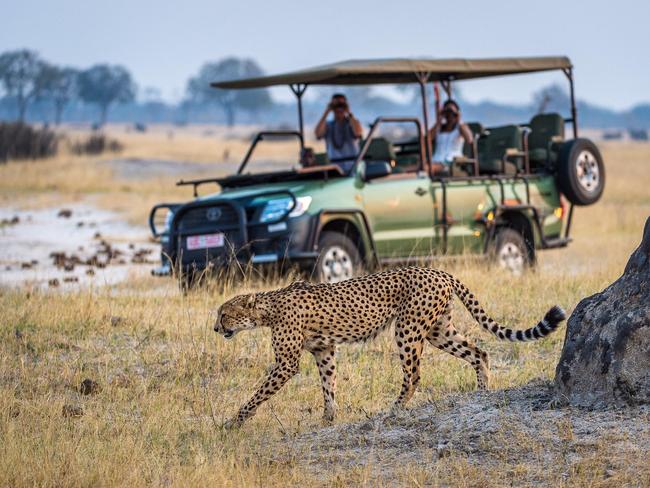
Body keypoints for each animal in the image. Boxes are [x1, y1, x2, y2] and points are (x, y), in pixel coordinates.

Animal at [213, 266, 560, 428]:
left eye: (224, 314)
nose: (216, 328)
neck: (268, 308)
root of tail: (437, 270)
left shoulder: (287, 363)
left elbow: (258, 394)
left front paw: (233, 422)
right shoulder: (325, 351)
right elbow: (329, 385)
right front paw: (328, 418)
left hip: (407, 330)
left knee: (414, 375)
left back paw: (395, 409)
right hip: (438, 330)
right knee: (479, 351)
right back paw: (481, 392)